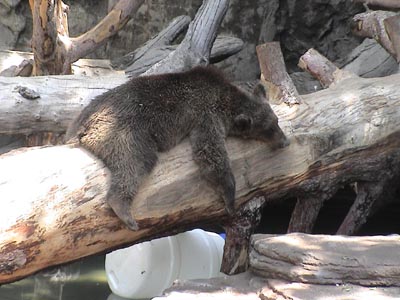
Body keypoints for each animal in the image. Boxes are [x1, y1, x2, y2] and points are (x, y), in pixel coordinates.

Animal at [66, 65, 290, 230]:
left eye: (276, 121)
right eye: (269, 129)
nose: (285, 141)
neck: (227, 101)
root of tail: (83, 127)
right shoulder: (207, 116)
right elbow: (210, 153)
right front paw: (230, 198)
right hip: (124, 131)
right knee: (135, 162)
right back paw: (125, 212)